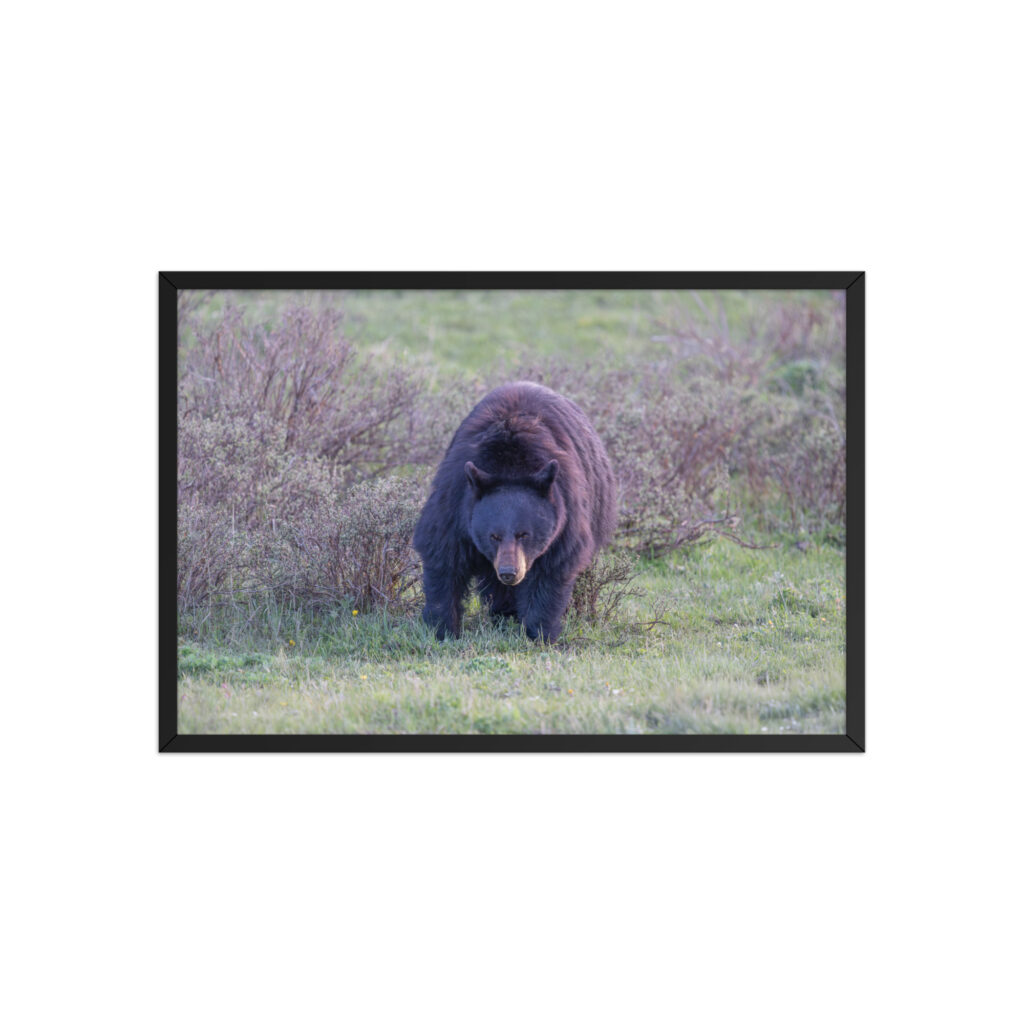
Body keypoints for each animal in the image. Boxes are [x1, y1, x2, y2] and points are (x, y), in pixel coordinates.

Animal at [413, 381, 617, 641]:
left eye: (524, 534)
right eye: (493, 536)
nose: (509, 572)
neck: (510, 465)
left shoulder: (565, 512)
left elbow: (551, 569)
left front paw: (539, 632)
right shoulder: (456, 501)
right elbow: (443, 556)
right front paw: (442, 628)